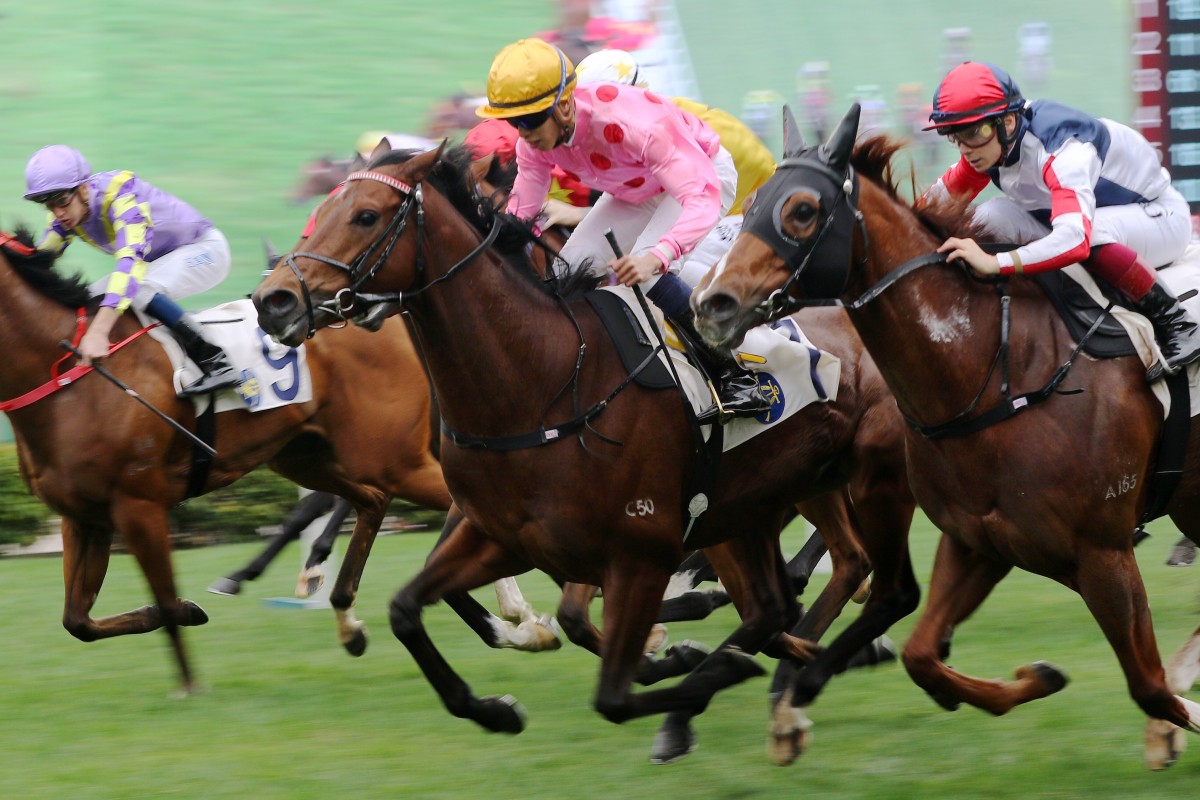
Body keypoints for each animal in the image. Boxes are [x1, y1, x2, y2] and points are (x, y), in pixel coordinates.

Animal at [0, 231, 561, 695]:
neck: (69, 380)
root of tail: (382, 317)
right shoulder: (84, 517)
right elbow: (78, 621)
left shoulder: (138, 506)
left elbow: (165, 600)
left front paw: (189, 680)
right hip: (307, 456)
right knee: (374, 501)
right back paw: (355, 619)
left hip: (391, 458)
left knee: (466, 509)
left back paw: (518, 617)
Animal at [248, 143, 912, 762]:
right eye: (320, 210)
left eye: (365, 215)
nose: (272, 300)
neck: (541, 378)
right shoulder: (501, 535)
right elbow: (407, 609)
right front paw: (496, 706)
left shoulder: (639, 552)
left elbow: (611, 690)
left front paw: (683, 658)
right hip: (756, 505)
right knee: (781, 602)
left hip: (852, 483)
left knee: (852, 579)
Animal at [696, 101, 1200, 767]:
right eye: (750, 204)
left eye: (802, 210)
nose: (711, 303)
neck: (995, 368)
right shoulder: (981, 541)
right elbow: (920, 656)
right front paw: (1037, 677)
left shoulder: (1103, 554)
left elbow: (1149, 686)